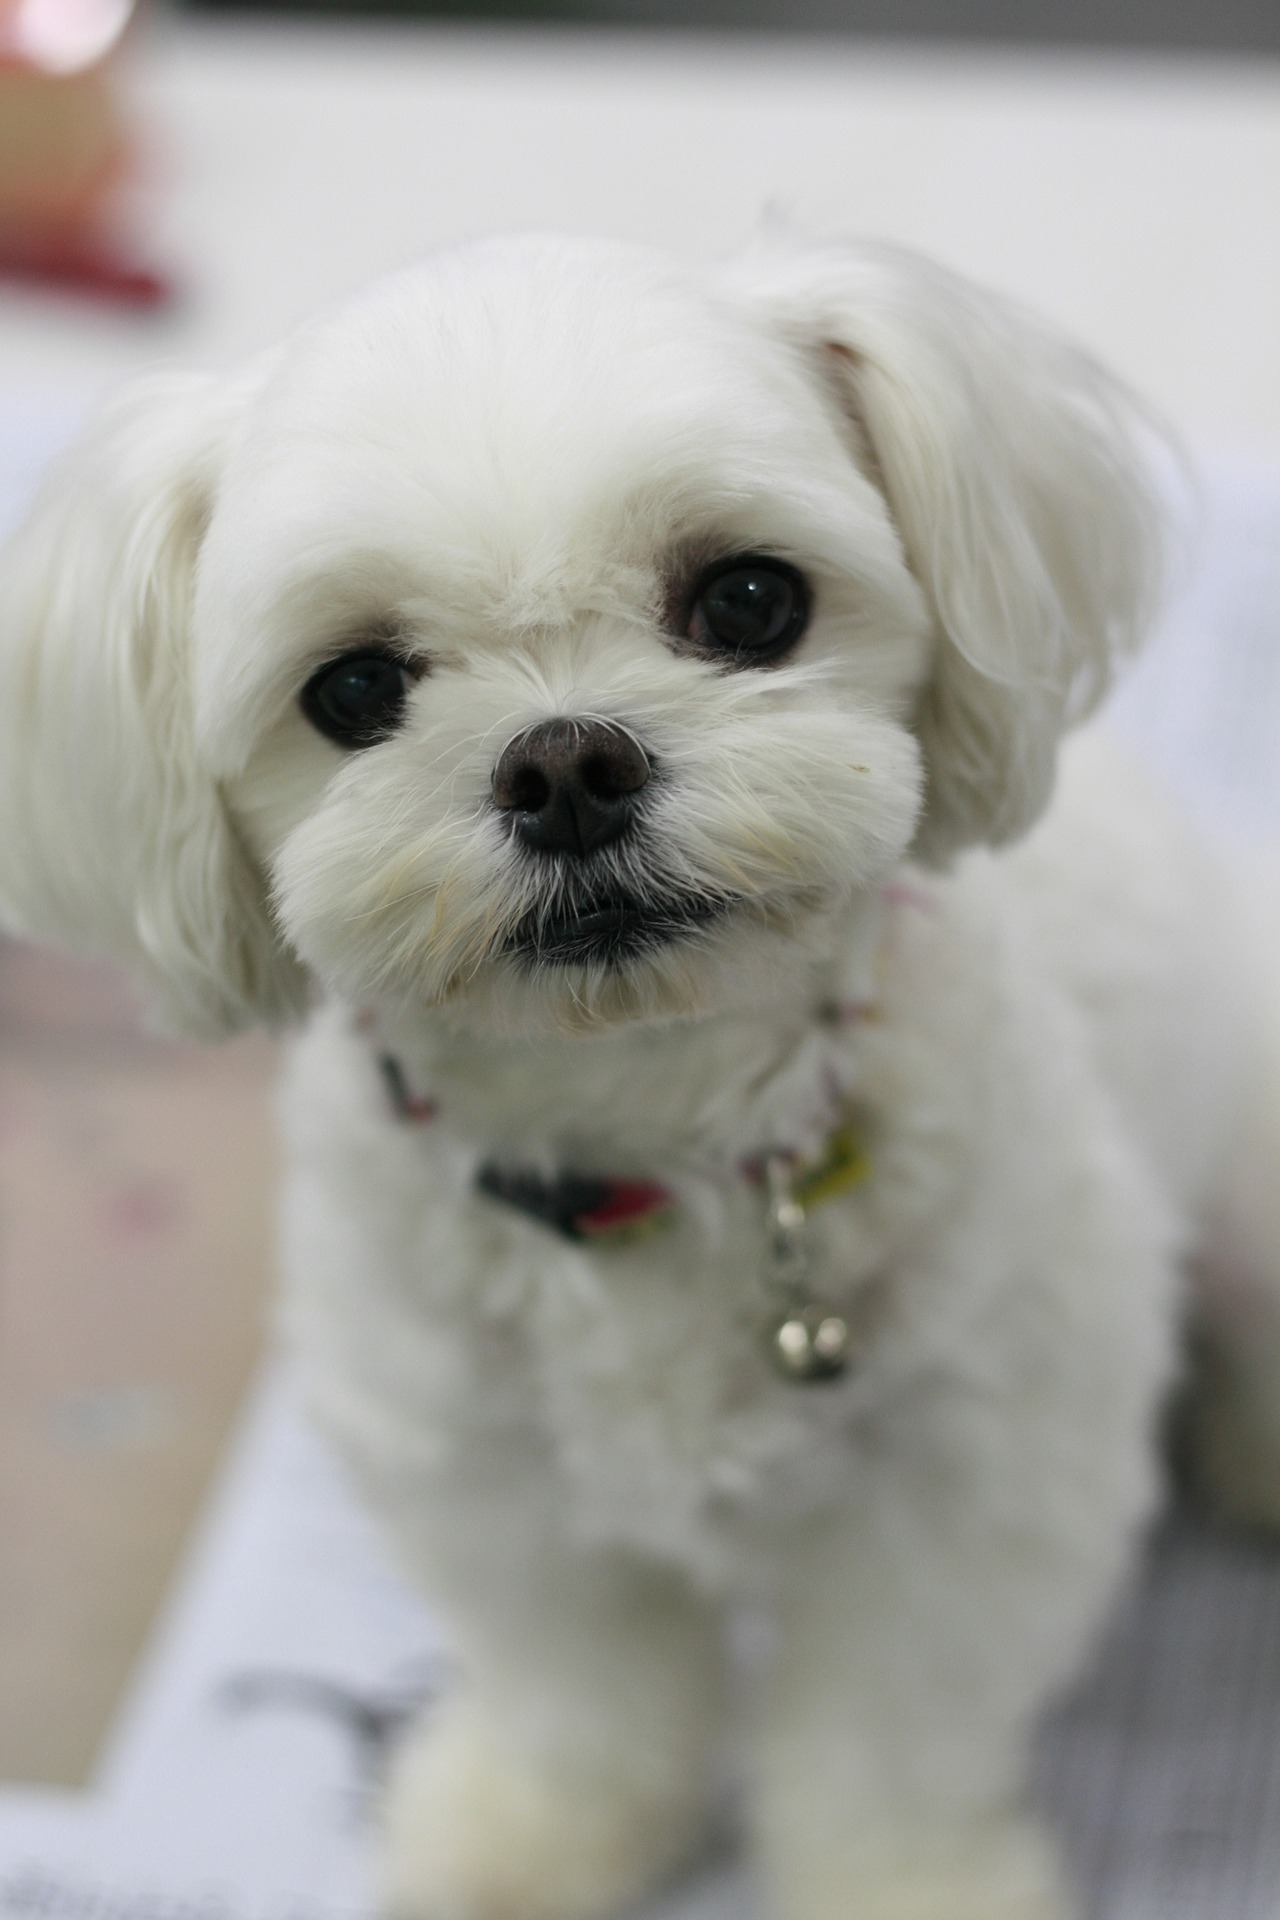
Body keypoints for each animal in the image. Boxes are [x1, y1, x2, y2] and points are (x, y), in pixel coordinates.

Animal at [2, 240, 1280, 1920]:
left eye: (748, 598)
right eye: (352, 691)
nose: (565, 766)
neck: (651, 1128)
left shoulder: (972, 1483)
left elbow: (894, 1735)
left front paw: (907, 1885)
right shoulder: (494, 1485)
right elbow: (584, 1698)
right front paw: (534, 1835)